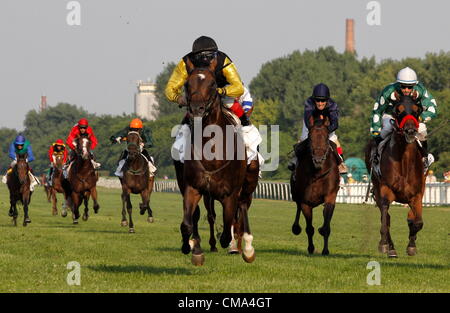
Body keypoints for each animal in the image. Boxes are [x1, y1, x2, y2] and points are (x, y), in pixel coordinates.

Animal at [178, 57, 258, 264]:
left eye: (213, 83)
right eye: (187, 84)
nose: (197, 109)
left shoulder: (230, 193)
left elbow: (229, 227)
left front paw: (234, 245)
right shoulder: (193, 188)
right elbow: (187, 223)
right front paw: (192, 248)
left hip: (248, 181)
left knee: (243, 208)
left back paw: (246, 248)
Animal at [290, 114, 340, 254]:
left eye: (326, 137)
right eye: (310, 137)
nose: (318, 160)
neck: (318, 173)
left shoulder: (330, 196)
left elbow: (326, 226)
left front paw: (325, 250)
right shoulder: (305, 202)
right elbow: (309, 228)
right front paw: (311, 248)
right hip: (296, 194)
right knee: (297, 207)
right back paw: (296, 227)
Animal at [364, 92, 428, 256]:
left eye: (417, 110)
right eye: (398, 110)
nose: (410, 131)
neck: (404, 163)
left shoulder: (417, 194)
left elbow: (417, 222)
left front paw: (411, 245)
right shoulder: (385, 191)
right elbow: (385, 220)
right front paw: (384, 244)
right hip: (377, 188)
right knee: (386, 217)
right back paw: (389, 247)